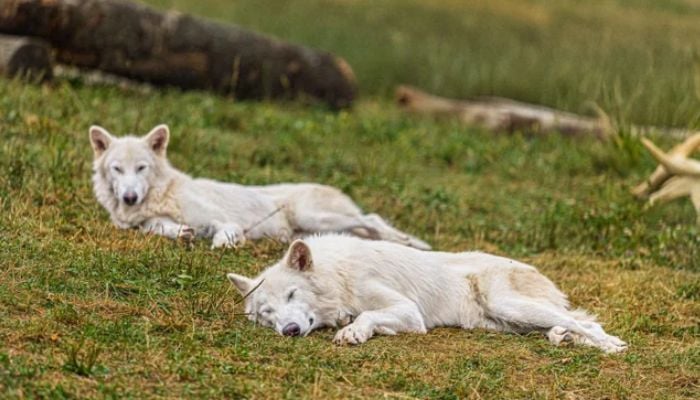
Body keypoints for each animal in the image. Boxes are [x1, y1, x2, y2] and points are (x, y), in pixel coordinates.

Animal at [89, 124, 430, 249]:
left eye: (141, 168)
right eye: (117, 169)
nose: (129, 198)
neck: (162, 194)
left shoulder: (220, 217)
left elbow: (224, 229)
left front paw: (226, 241)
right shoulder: (147, 223)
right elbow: (161, 228)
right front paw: (183, 233)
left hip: (315, 217)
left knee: (373, 218)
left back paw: (410, 243)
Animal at [226, 235, 627, 353]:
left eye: (292, 295)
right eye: (267, 314)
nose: (289, 331)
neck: (339, 275)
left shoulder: (408, 311)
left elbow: (368, 315)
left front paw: (352, 331)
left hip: (510, 305)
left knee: (586, 325)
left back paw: (611, 347)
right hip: (504, 322)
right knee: (570, 325)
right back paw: (562, 338)